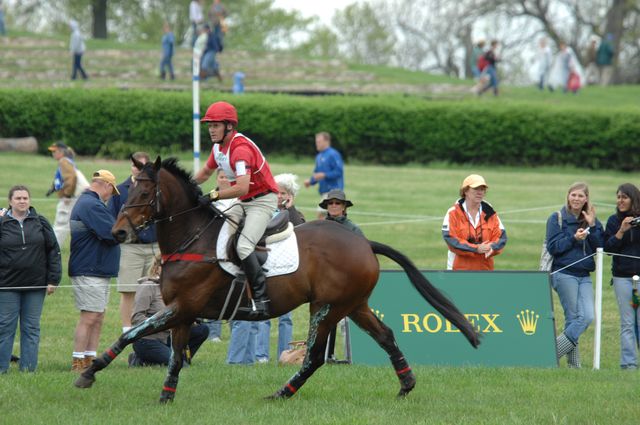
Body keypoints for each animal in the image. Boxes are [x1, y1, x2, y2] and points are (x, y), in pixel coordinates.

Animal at [75, 157, 478, 402]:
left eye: (144, 192)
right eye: (127, 189)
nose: (119, 233)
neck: (192, 239)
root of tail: (362, 241)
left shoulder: (183, 307)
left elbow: (130, 333)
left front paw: (89, 373)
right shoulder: (183, 313)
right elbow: (172, 356)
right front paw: (165, 397)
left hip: (326, 307)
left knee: (314, 357)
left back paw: (282, 394)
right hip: (354, 305)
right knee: (386, 336)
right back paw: (406, 385)